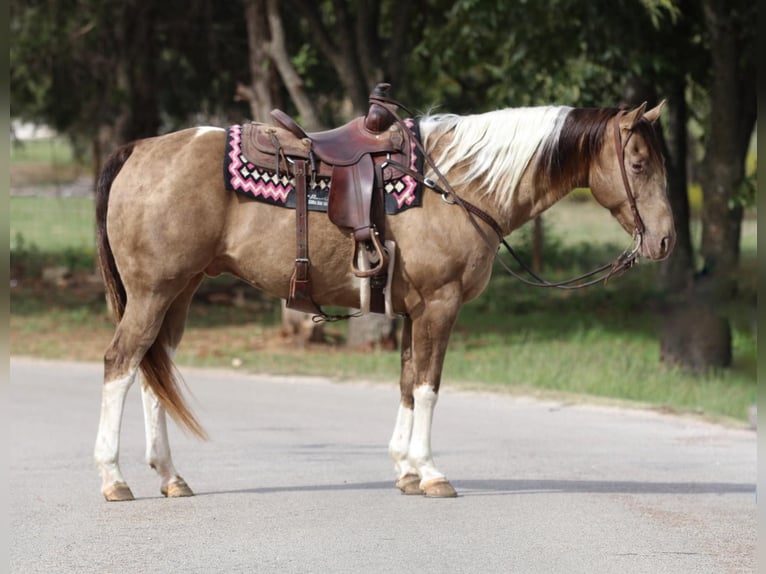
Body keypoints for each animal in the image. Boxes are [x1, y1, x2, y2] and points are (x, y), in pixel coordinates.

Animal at [93, 97, 676, 502]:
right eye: (639, 165)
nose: (666, 241)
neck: (459, 186)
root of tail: (138, 149)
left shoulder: (413, 311)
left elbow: (406, 383)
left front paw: (406, 469)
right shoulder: (440, 305)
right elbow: (429, 387)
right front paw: (432, 472)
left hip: (179, 292)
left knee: (153, 368)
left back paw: (171, 477)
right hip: (152, 293)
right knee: (120, 363)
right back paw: (113, 477)